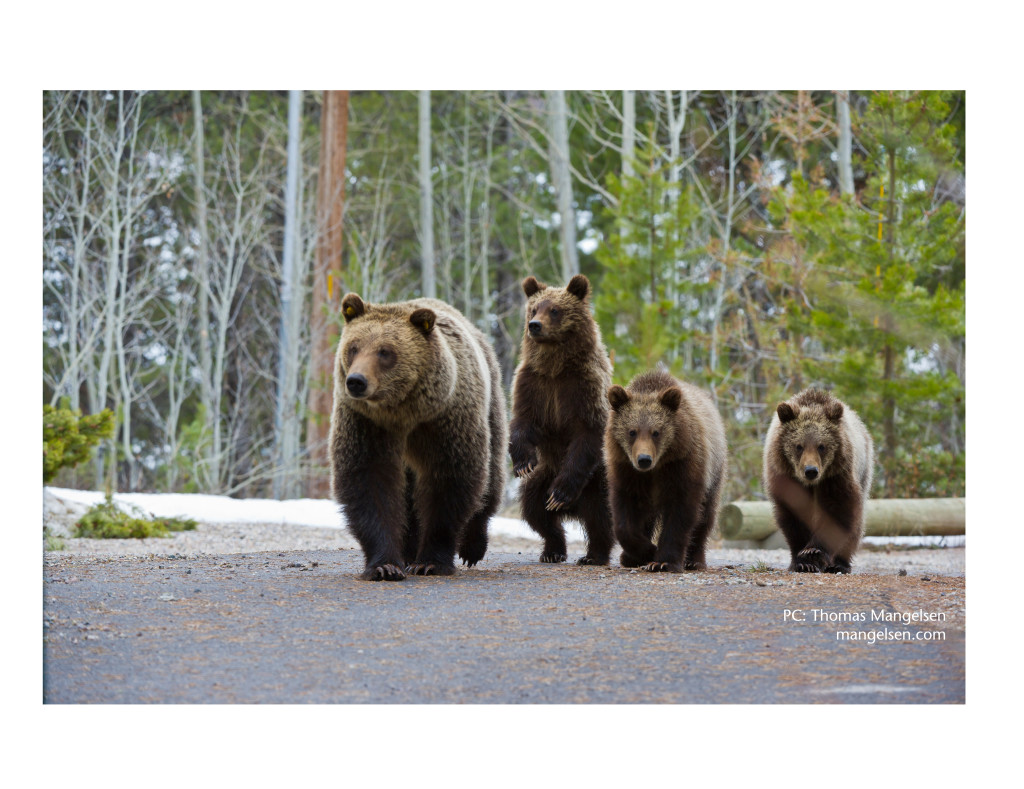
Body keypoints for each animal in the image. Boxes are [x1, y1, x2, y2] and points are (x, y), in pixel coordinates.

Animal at [329, 292, 507, 581]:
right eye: (353, 347)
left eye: (385, 351)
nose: (356, 381)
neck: (403, 412)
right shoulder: (367, 423)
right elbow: (369, 480)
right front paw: (385, 566)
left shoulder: (445, 420)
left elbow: (450, 479)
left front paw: (431, 562)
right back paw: (409, 551)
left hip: (491, 403)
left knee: (492, 474)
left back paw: (473, 546)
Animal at [508, 274, 615, 565]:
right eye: (534, 308)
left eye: (555, 310)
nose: (534, 326)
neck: (555, 367)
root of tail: (574, 510)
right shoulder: (533, 383)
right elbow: (523, 421)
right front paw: (522, 462)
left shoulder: (584, 387)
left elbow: (588, 432)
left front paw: (560, 493)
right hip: (544, 475)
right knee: (535, 510)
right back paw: (552, 550)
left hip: (598, 480)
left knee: (601, 516)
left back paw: (593, 554)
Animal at [605, 369, 728, 572]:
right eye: (632, 431)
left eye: (656, 432)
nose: (644, 459)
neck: (657, 467)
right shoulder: (627, 470)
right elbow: (624, 516)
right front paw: (645, 551)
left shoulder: (683, 465)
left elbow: (680, 513)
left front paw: (663, 561)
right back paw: (629, 558)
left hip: (715, 472)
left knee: (705, 516)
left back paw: (694, 560)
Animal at [762, 388, 874, 573]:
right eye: (799, 446)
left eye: (821, 446)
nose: (811, 471)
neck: (811, 484)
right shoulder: (786, 477)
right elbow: (793, 514)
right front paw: (802, 561)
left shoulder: (836, 476)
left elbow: (838, 509)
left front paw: (813, 551)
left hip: (863, 471)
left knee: (856, 525)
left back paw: (840, 564)